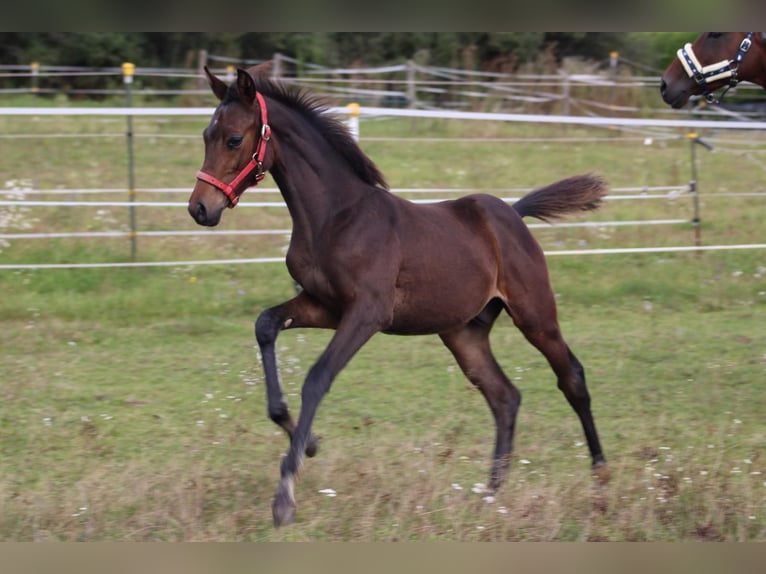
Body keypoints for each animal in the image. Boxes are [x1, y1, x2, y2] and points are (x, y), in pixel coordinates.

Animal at [189, 65, 608, 528]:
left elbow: (317, 377)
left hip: (535, 315)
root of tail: (513, 214)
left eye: (233, 139)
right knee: (504, 396)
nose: (200, 208)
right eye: (205, 135)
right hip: (464, 333)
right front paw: (308, 439)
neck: (336, 216)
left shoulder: (367, 313)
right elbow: (265, 324)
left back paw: (600, 482)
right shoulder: (324, 306)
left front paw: (285, 494)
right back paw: (490, 496)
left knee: (571, 378)